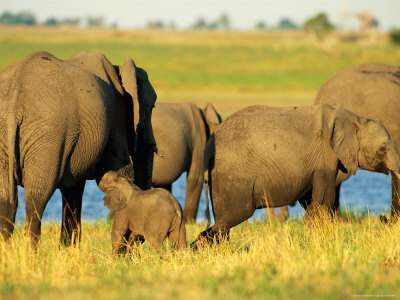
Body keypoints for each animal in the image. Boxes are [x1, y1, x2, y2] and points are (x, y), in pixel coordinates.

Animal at [0, 51, 156, 246]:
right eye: (152, 107)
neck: (117, 68)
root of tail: (14, 97)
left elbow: (73, 189)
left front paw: (67, 248)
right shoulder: (115, 118)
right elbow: (120, 170)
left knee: (6, 199)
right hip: (48, 136)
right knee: (36, 197)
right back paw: (29, 251)